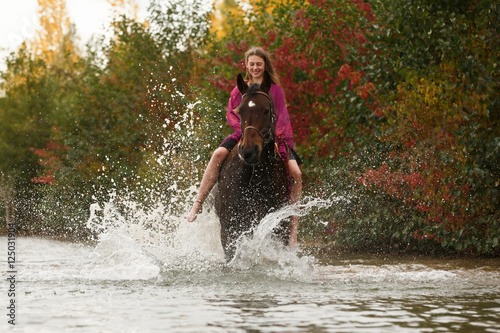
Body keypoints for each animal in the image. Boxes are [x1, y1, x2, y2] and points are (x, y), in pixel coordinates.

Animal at [214, 71, 290, 260]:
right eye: (239, 111)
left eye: (266, 110)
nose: (249, 151)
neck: (255, 175)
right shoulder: (229, 228)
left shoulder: (277, 227)